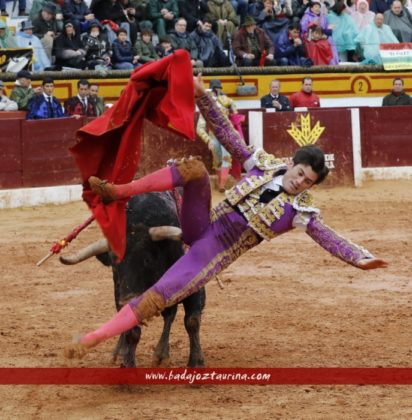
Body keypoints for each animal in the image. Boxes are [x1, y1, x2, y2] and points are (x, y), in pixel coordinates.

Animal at [61, 192, 206, 366]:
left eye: (147, 259)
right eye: (114, 263)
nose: (127, 301)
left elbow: (192, 321)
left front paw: (196, 362)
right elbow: (132, 331)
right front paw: (127, 362)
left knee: (170, 315)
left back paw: (161, 354)